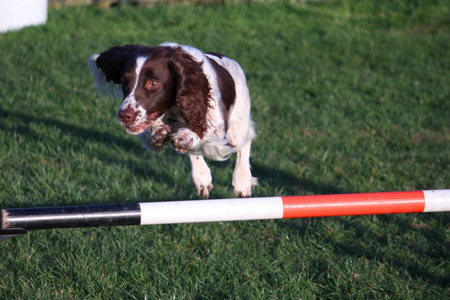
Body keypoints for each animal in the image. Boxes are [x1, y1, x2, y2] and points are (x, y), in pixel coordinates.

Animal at [88, 41, 256, 197]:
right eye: (124, 82)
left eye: (153, 83)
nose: (124, 116)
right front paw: (157, 130)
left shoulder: (218, 126)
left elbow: (201, 129)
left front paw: (186, 135)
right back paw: (202, 177)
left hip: (238, 126)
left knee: (245, 141)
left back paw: (242, 181)